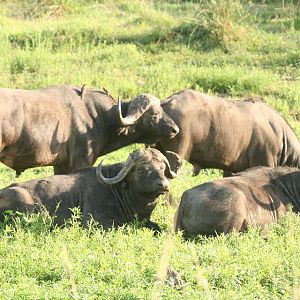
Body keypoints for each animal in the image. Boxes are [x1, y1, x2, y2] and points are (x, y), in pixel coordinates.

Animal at [0, 85, 178, 176]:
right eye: (154, 114)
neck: (97, 116)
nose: (175, 130)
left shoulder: (61, 165)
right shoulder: (80, 163)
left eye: (162, 109)